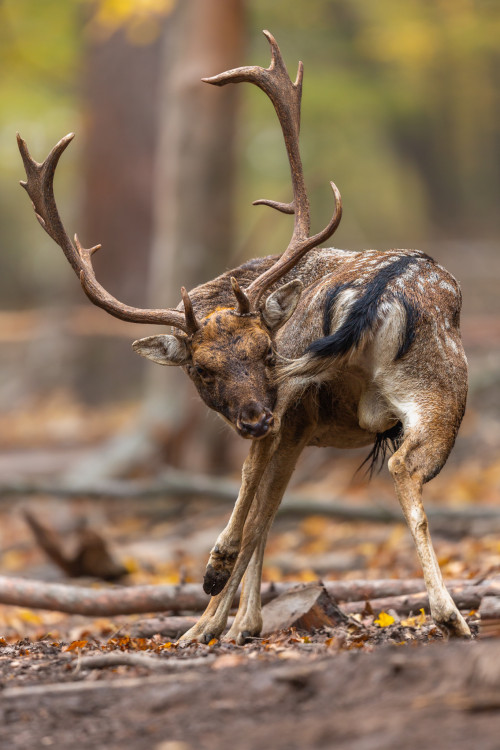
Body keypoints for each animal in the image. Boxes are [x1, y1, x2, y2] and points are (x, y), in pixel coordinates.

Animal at [17, 27, 470, 640]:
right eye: (200, 368)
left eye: (263, 351)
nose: (253, 415)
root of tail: (378, 288)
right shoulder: (297, 421)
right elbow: (270, 510)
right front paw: (242, 622)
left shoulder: (291, 414)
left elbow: (260, 505)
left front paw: (220, 619)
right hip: (416, 391)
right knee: (392, 467)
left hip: (421, 385)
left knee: (292, 486)